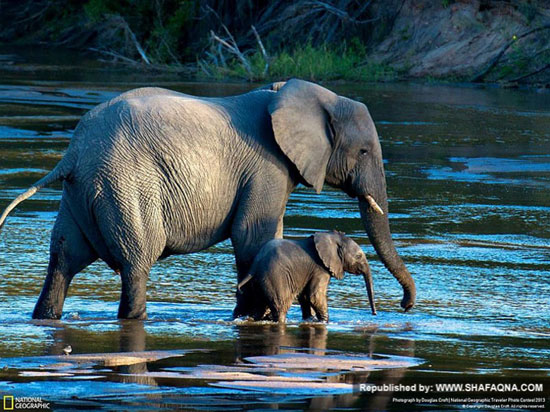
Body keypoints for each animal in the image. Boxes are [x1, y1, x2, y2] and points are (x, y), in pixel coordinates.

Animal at [235, 230, 378, 324]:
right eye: (358, 256)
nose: (374, 314)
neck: (330, 237)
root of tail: (255, 265)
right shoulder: (320, 269)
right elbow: (314, 296)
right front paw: (324, 322)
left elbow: (305, 296)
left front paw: (310, 320)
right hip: (274, 277)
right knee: (280, 306)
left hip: (259, 282)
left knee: (259, 307)